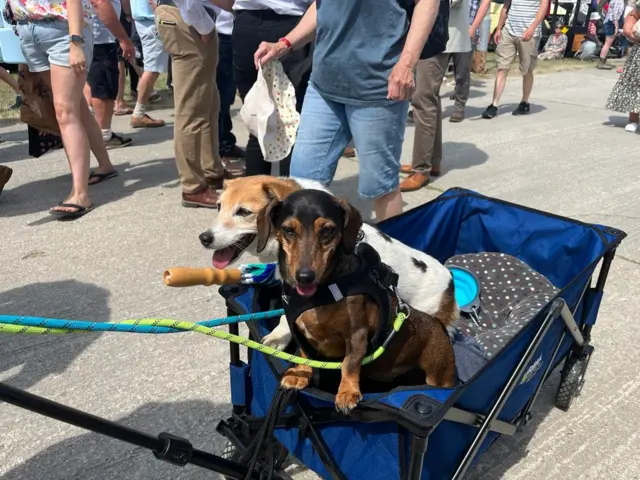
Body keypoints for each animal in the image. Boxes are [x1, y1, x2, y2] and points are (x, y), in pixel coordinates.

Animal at [258, 189, 458, 410]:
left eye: (327, 230)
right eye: (288, 230)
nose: (304, 276)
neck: (321, 294)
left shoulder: (356, 335)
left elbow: (350, 363)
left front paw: (347, 392)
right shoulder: (301, 332)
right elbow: (304, 353)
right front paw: (299, 372)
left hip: (438, 371)